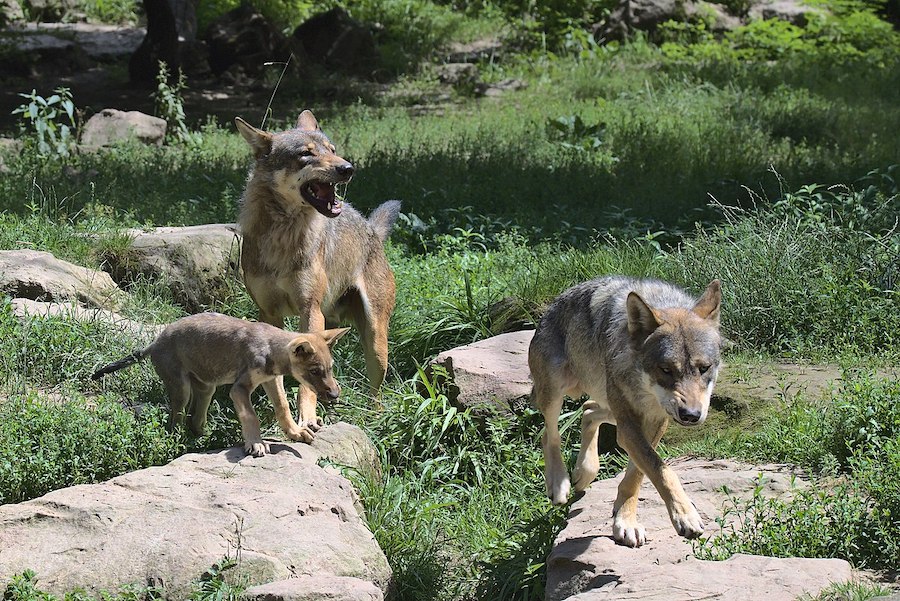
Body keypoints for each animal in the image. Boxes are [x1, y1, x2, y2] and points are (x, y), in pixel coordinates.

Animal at [91, 312, 350, 458]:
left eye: (331, 368)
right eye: (315, 371)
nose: (335, 395)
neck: (270, 348)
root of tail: (154, 343)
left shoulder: (271, 381)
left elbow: (283, 409)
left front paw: (296, 432)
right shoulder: (239, 389)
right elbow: (251, 417)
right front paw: (255, 444)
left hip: (206, 388)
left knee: (194, 420)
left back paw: (203, 440)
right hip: (182, 390)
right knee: (176, 421)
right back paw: (179, 444)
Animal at [236, 109, 400, 440]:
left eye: (332, 150)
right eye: (306, 154)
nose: (348, 169)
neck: (283, 237)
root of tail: (371, 229)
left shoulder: (309, 310)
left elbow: (306, 385)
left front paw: (307, 418)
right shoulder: (269, 314)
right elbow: (279, 382)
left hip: (376, 342)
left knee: (376, 391)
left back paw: (375, 419)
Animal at [532, 274, 720, 548]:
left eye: (704, 368)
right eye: (666, 369)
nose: (691, 415)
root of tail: (552, 306)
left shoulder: (655, 420)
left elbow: (638, 474)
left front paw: (625, 520)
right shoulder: (631, 426)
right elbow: (661, 470)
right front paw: (685, 515)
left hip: (610, 408)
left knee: (588, 410)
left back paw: (584, 472)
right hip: (556, 391)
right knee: (550, 434)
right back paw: (559, 484)